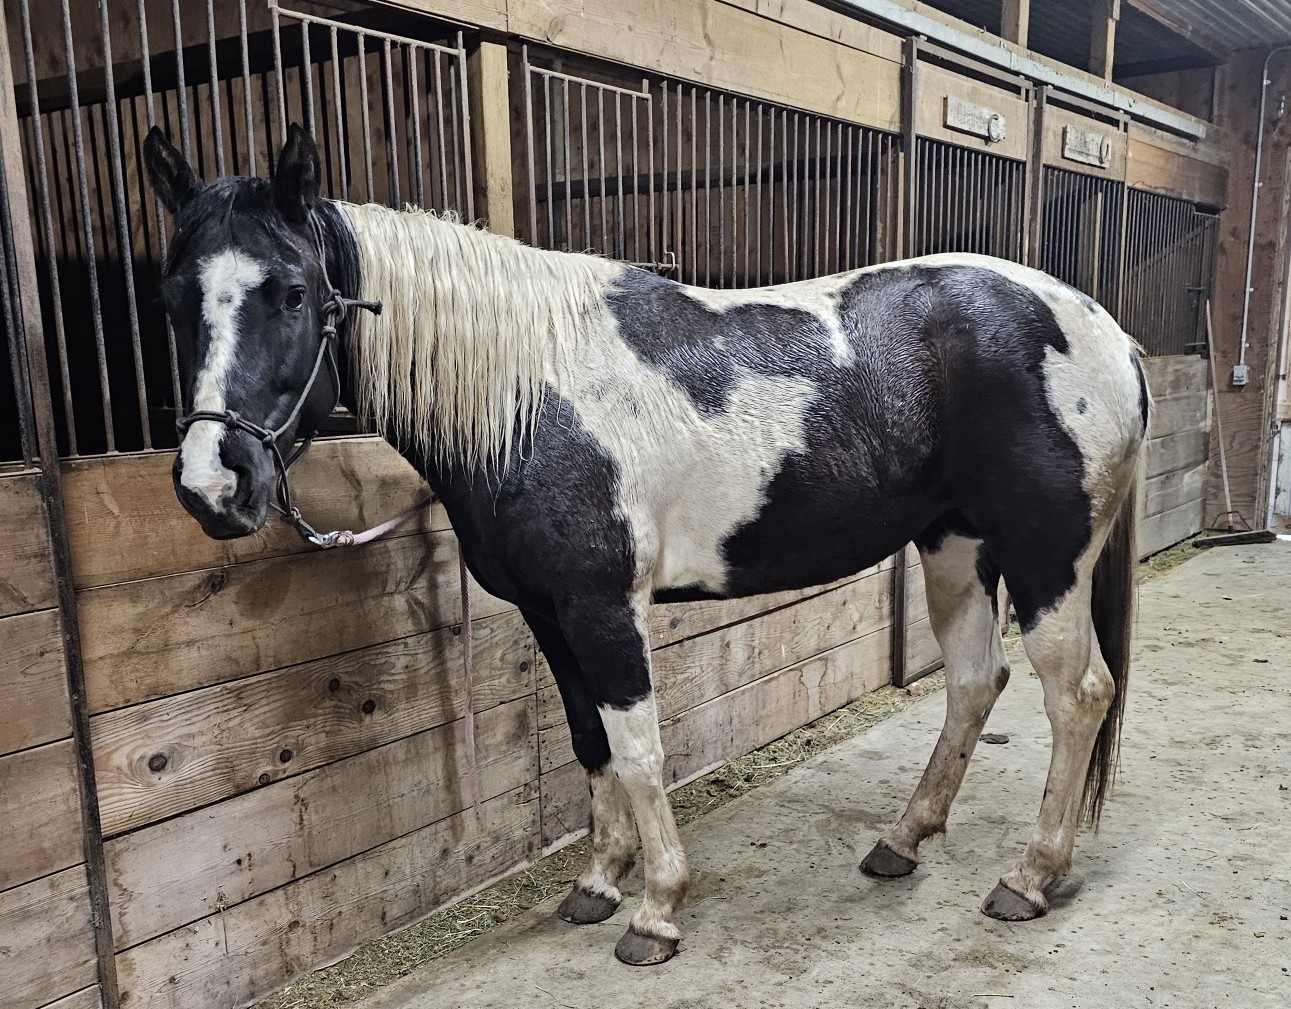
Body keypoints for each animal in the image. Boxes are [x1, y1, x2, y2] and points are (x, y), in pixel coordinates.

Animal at [142, 123, 1147, 967]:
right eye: (173, 296)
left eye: (293, 292)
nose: (212, 485)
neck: (530, 398)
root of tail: (1103, 327)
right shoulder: (548, 613)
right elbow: (590, 740)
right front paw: (597, 884)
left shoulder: (602, 607)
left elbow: (638, 749)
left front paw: (656, 910)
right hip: (952, 548)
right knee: (977, 680)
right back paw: (900, 842)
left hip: (1047, 561)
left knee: (1077, 695)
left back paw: (1029, 876)